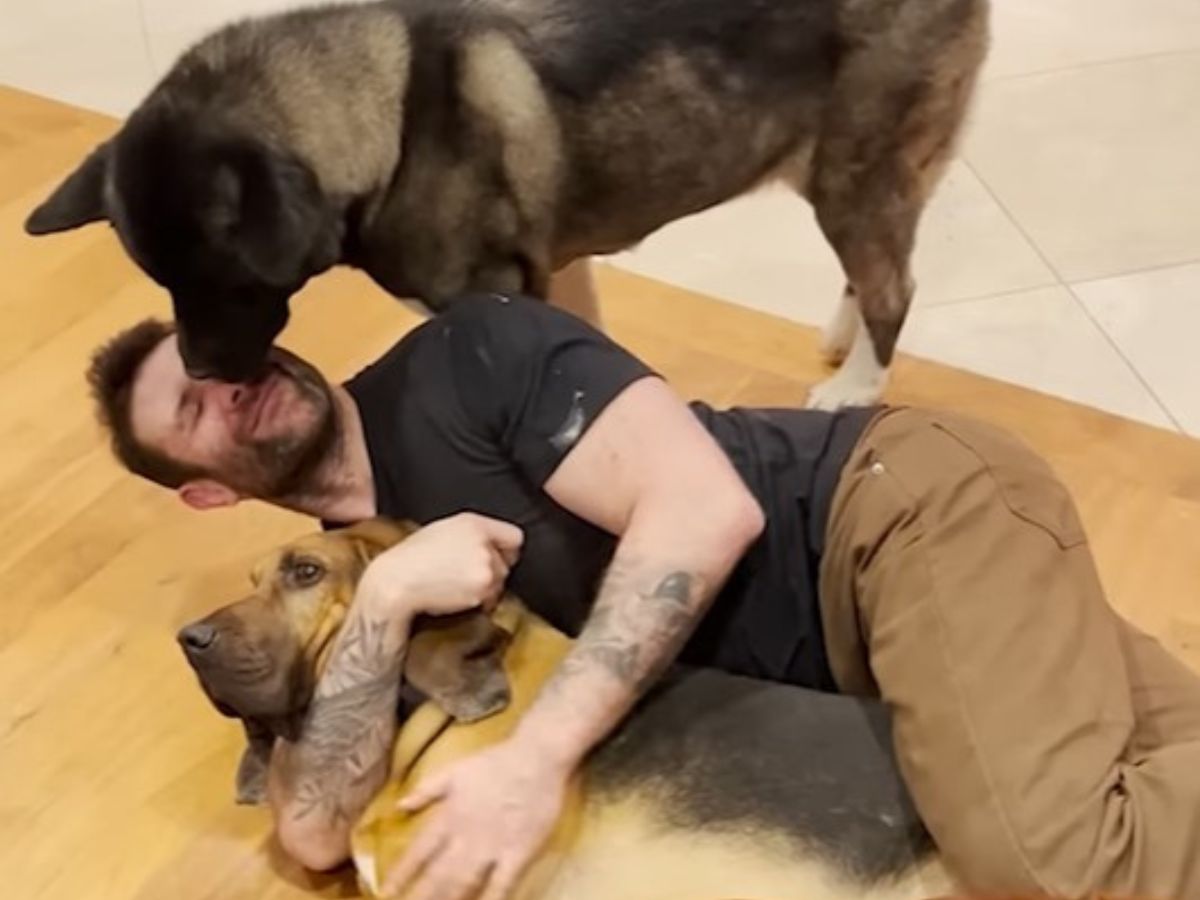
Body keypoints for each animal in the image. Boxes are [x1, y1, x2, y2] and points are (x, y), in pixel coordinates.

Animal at [28, 0, 988, 408]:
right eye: (161, 281)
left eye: (233, 283)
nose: (196, 373)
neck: (391, 107)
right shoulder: (554, 281)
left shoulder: (495, 295)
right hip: (861, 178)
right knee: (877, 270)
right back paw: (840, 337)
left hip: (854, 173)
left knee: (893, 288)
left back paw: (855, 388)